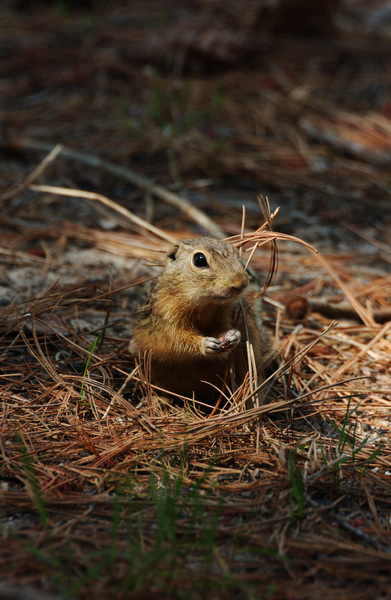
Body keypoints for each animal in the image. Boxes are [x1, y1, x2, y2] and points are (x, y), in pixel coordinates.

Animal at [129, 237, 276, 406]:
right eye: (199, 260)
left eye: (236, 253)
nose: (241, 283)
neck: (204, 304)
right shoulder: (165, 316)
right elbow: (176, 339)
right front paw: (205, 344)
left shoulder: (227, 313)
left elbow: (223, 328)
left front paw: (233, 336)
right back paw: (158, 400)